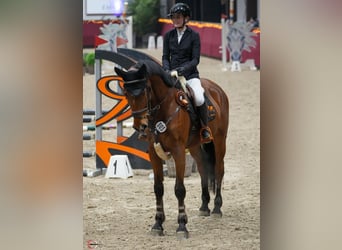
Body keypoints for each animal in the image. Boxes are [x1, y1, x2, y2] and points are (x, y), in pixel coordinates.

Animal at [115, 59, 230, 238]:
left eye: (145, 90)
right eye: (126, 93)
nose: (141, 126)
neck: (162, 108)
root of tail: (217, 89)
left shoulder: (178, 152)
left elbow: (179, 189)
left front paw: (182, 225)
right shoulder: (154, 154)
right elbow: (158, 188)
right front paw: (157, 224)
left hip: (219, 140)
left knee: (219, 170)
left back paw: (217, 208)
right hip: (195, 146)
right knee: (203, 168)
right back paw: (204, 206)